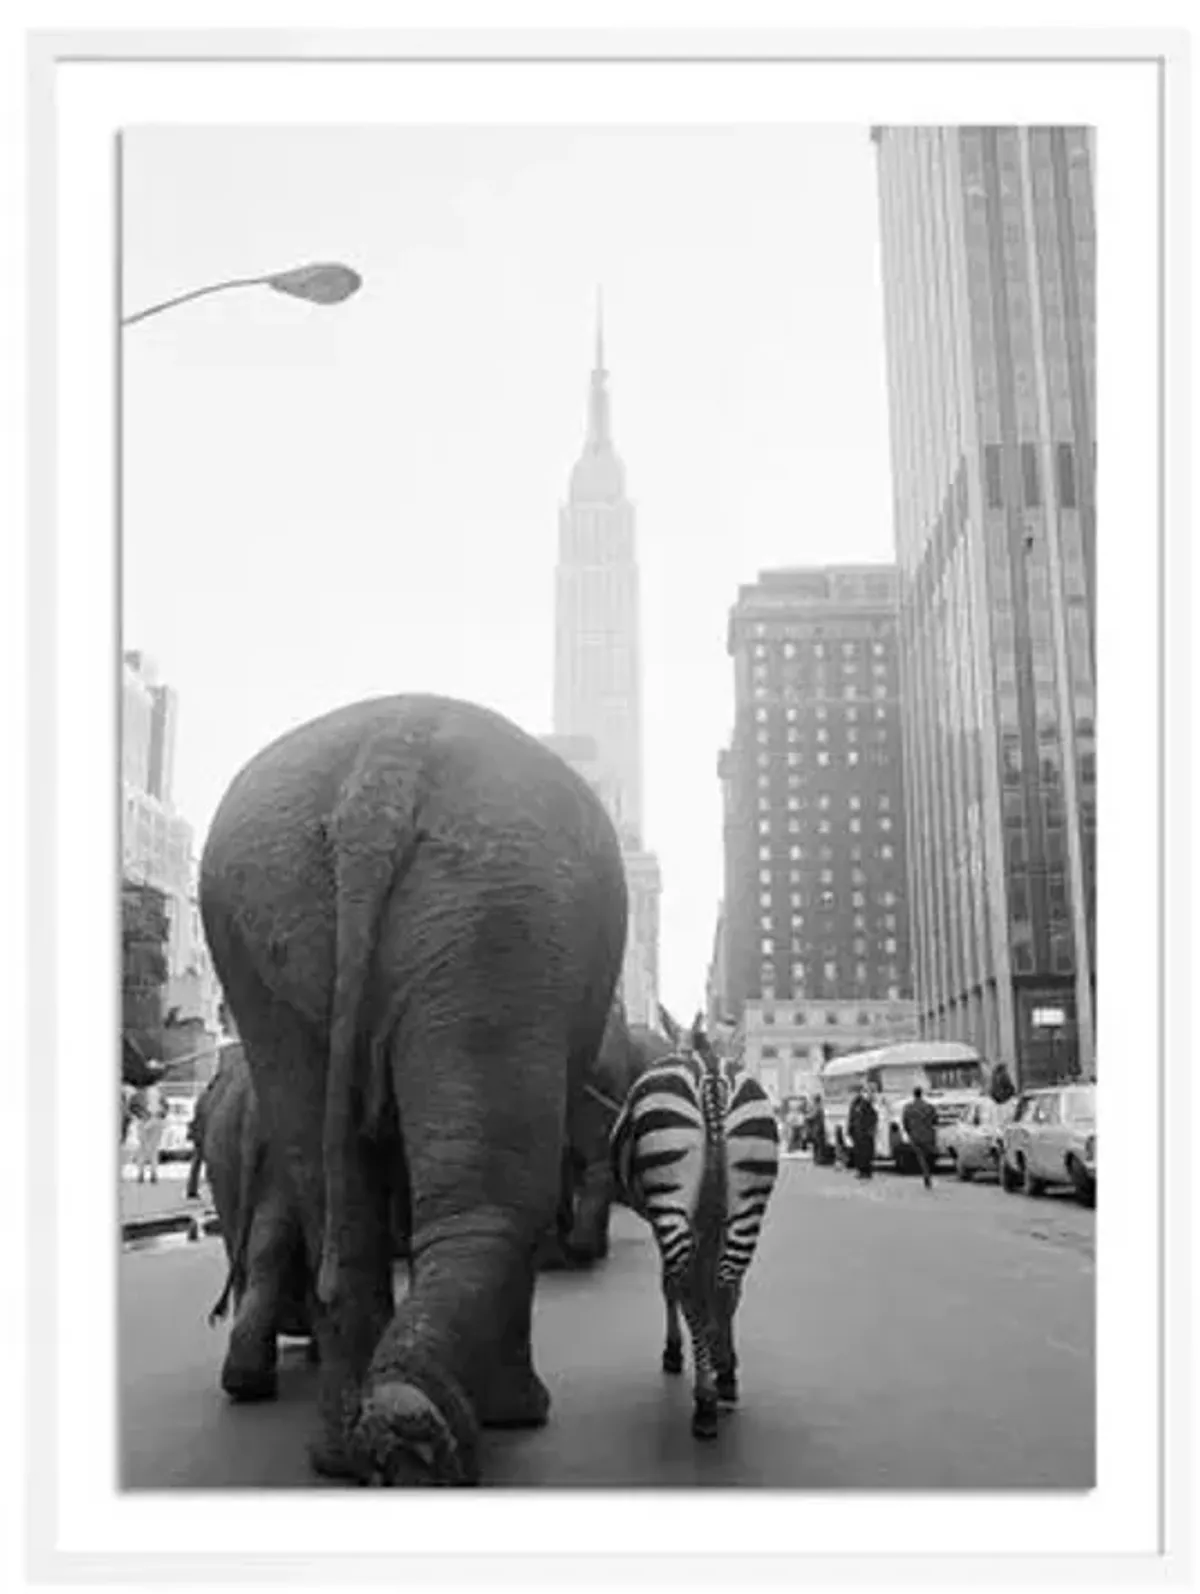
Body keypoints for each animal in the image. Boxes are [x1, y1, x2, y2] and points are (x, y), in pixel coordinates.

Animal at [197, 691, 621, 1485]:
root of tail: (386, 765)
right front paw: (515, 1417)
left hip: (278, 916)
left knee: (331, 1197)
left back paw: (351, 1446)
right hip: (498, 916)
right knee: (493, 1198)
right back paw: (421, 1429)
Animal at [608, 1007, 777, 1447]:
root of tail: (709, 1071)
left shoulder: (663, 1219)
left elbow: (671, 1285)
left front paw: (674, 1353)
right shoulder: (712, 1221)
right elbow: (722, 1289)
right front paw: (724, 1361)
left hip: (668, 1197)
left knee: (685, 1286)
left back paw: (703, 1402)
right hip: (749, 1200)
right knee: (726, 1284)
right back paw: (725, 1379)